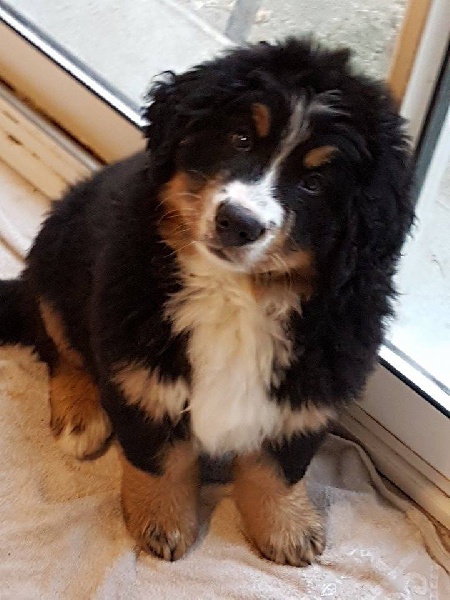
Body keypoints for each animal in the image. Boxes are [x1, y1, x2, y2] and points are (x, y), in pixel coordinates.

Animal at [0, 38, 414, 565]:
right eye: (240, 139)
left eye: (314, 183)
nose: (238, 222)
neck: (235, 293)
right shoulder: (140, 369)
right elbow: (160, 458)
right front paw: (162, 521)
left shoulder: (310, 386)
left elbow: (280, 465)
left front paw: (287, 526)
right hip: (60, 261)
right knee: (60, 346)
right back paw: (80, 417)